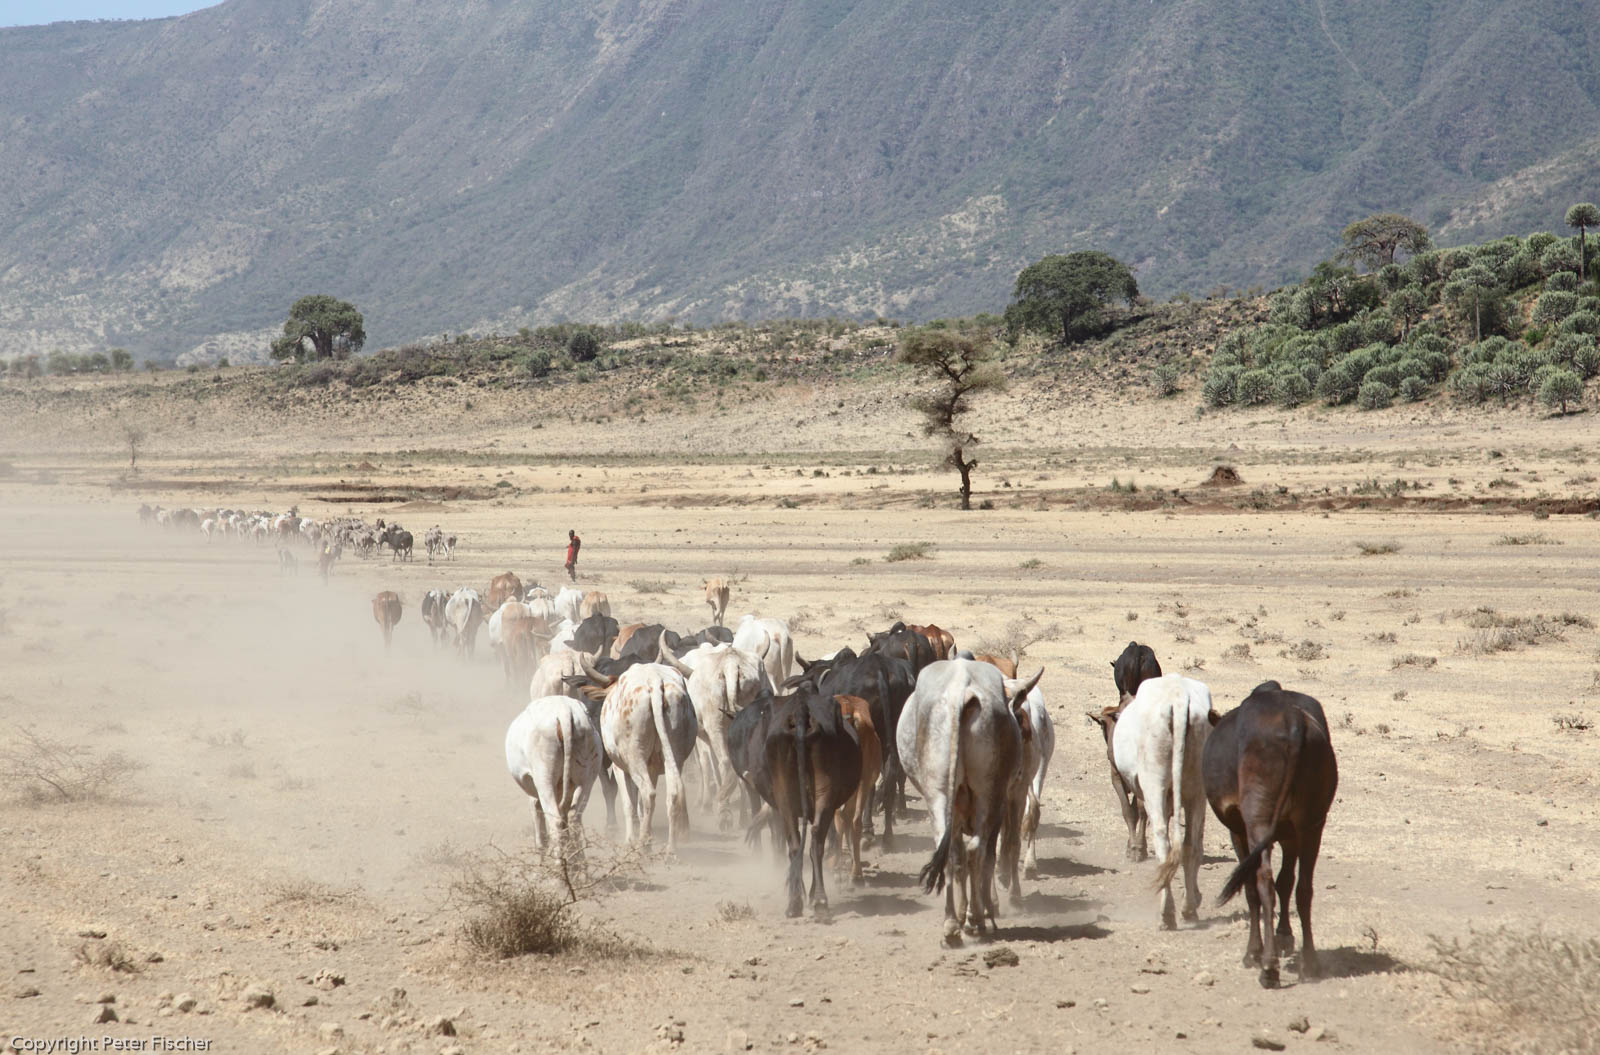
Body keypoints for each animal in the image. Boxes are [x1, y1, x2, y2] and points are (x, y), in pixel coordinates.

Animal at [504, 695, 604, 865]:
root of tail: (564, 711)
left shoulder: (534, 797)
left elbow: (541, 836)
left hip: (544, 780)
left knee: (555, 822)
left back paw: (559, 869)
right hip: (587, 780)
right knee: (573, 818)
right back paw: (580, 867)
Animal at [598, 663, 698, 851]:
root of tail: (654, 680)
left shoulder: (619, 767)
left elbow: (629, 804)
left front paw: (629, 840)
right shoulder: (652, 767)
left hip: (635, 756)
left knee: (648, 793)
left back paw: (643, 844)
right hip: (674, 754)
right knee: (673, 793)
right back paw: (670, 848)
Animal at [899, 659, 1043, 944]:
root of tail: (961, 689)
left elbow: (961, 857)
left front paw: (967, 912)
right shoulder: (1002, 803)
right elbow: (991, 855)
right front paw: (987, 908)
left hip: (940, 794)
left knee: (952, 853)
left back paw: (952, 924)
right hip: (990, 794)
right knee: (979, 851)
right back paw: (976, 918)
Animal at [1090, 673, 1214, 930]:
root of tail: (1179, 698)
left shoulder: (1124, 779)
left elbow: (1132, 813)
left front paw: (1135, 849)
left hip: (1154, 785)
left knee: (1163, 841)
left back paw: (1167, 913)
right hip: (1197, 791)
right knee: (1191, 844)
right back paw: (1189, 908)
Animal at [1205, 681, 1338, 989]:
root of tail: (1293, 719)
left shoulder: (1238, 831)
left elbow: (1253, 890)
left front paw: (1253, 952)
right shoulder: (1291, 836)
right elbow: (1286, 882)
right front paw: (1284, 936)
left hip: (1258, 822)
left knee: (1263, 882)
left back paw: (1268, 966)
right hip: (1313, 824)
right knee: (1304, 888)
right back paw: (1310, 963)